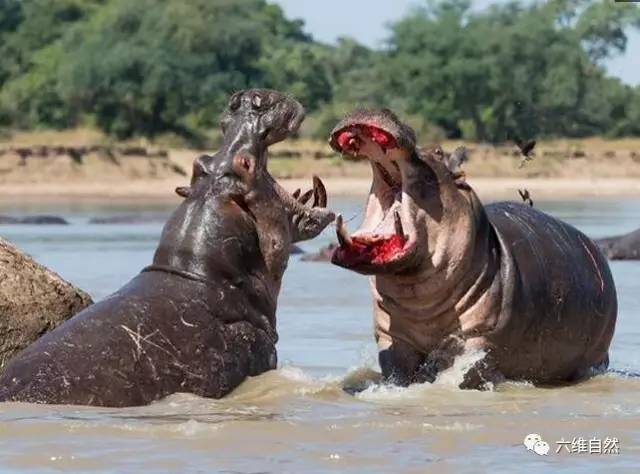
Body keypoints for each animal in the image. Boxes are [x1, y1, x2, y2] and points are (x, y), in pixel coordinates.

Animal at [324, 108, 616, 388]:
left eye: (438, 151)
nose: (372, 107)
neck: (419, 303)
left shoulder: (481, 338)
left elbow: (464, 374)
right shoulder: (392, 338)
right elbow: (397, 372)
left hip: (595, 356)